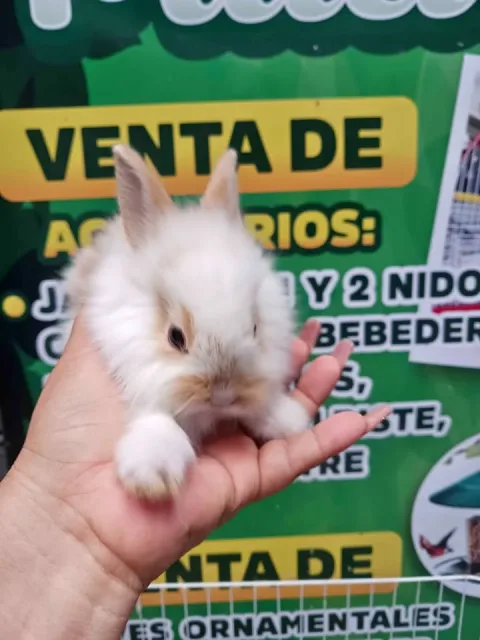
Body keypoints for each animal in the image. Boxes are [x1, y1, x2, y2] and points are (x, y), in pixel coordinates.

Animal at [62, 144, 312, 500]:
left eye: (255, 328)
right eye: (175, 337)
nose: (223, 396)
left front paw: (289, 420)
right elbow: (155, 420)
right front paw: (153, 477)